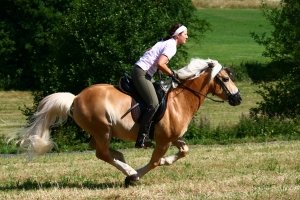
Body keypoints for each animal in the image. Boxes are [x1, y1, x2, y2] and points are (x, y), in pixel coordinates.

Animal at [18, 57, 241, 186]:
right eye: (225, 79)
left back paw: (123, 159)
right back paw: (129, 170)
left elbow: (183, 151)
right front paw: (134, 177)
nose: (238, 98)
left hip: (100, 131)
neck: (181, 100)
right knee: (102, 153)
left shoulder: (173, 137)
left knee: (100, 150)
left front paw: (164, 162)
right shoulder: (163, 141)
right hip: (102, 129)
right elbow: (154, 161)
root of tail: (75, 98)